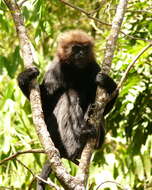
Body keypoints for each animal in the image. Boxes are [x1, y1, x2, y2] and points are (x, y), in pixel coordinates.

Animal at [17, 29, 117, 162]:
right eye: (76, 48)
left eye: (85, 49)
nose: (81, 53)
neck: (75, 70)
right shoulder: (55, 71)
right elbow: (45, 108)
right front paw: (24, 77)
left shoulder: (95, 68)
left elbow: (104, 109)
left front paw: (108, 83)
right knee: (69, 95)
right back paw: (77, 143)